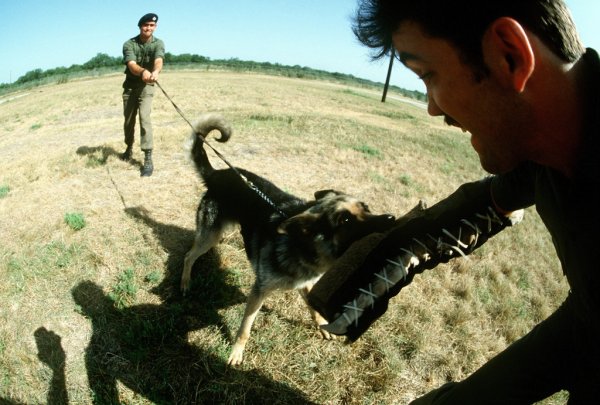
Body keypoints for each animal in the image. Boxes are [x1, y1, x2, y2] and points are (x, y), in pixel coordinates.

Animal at [183, 113, 396, 362]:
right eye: (345, 220)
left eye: (366, 207)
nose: (391, 218)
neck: (304, 245)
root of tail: (216, 174)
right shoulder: (259, 292)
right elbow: (245, 328)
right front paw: (236, 352)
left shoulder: (306, 284)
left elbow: (313, 307)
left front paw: (322, 326)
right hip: (209, 236)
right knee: (189, 255)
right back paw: (185, 283)